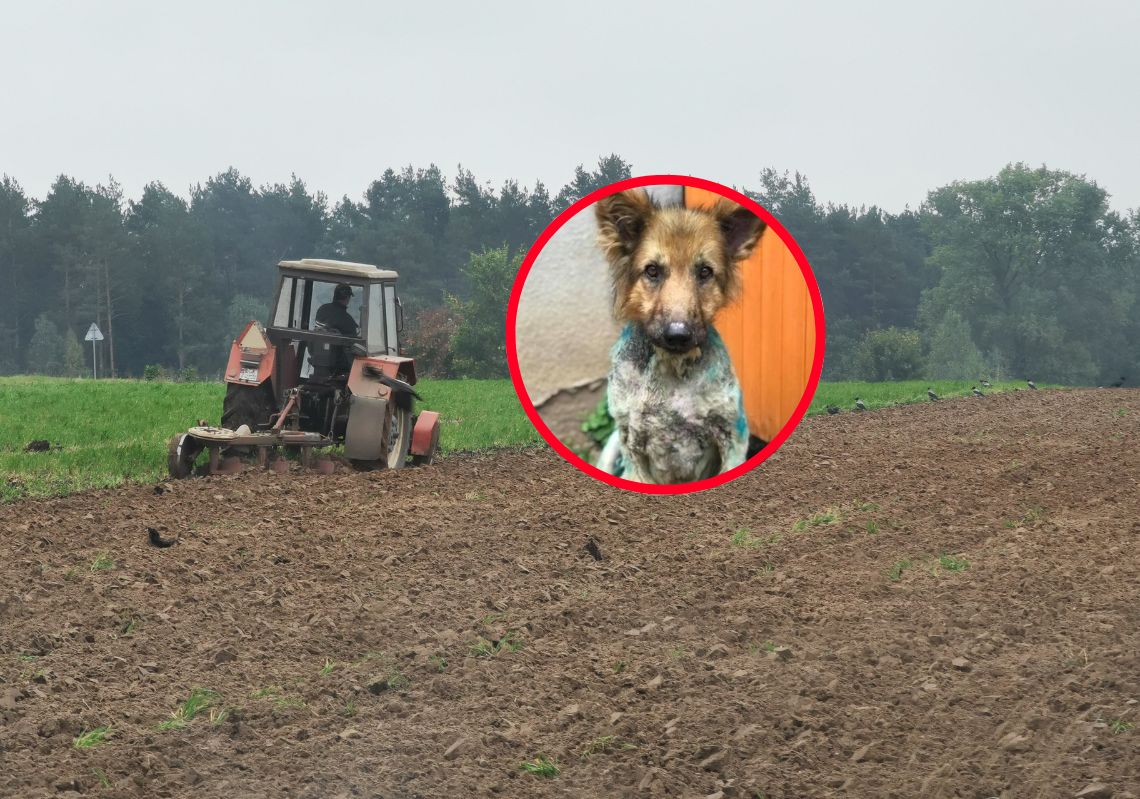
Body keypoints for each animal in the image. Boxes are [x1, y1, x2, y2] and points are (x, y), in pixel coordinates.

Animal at [592, 190, 770, 483]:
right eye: (652, 270)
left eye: (705, 271)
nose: (678, 335)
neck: (672, 370)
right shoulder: (631, 443)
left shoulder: (732, 435)